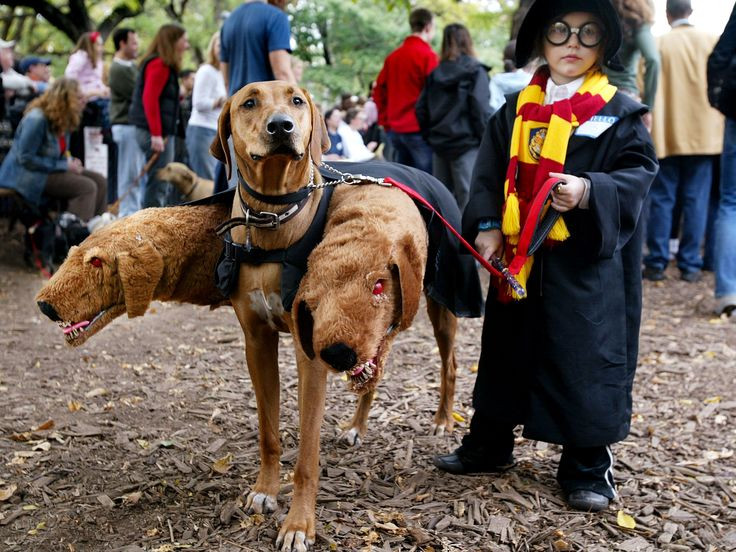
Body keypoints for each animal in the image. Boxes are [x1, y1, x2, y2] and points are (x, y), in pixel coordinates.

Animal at [208, 83, 460, 552]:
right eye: (249, 102)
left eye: (296, 101)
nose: (282, 127)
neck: (274, 219)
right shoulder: (257, 341)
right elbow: (268, 432)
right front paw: (265, 490)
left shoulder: (311, 351)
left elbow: (307, 453)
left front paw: (298, 524)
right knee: (374, 368)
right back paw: (357, 425)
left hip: (442, 303)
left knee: (449, 363)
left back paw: (441, 419)